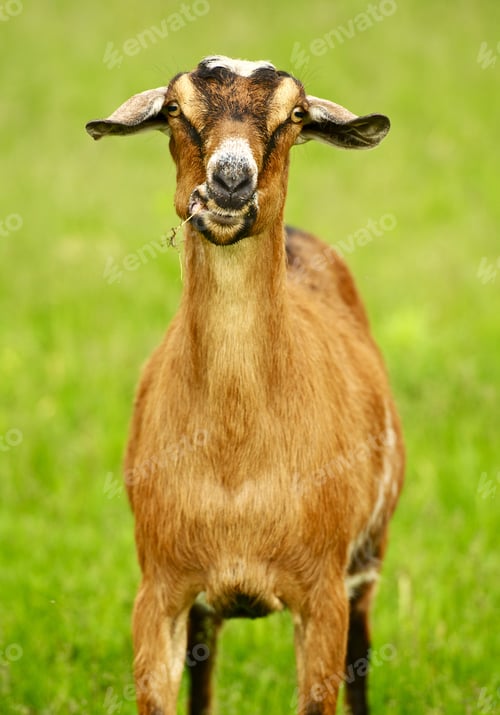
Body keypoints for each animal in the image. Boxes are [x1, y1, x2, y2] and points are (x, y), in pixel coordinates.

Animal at [86, 55, 404, 715]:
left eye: (296, 114)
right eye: (175, 109)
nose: (231, 181)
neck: (236, 461)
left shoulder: (322, 591)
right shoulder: (160, 588)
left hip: (370, 552)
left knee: (362, 658)